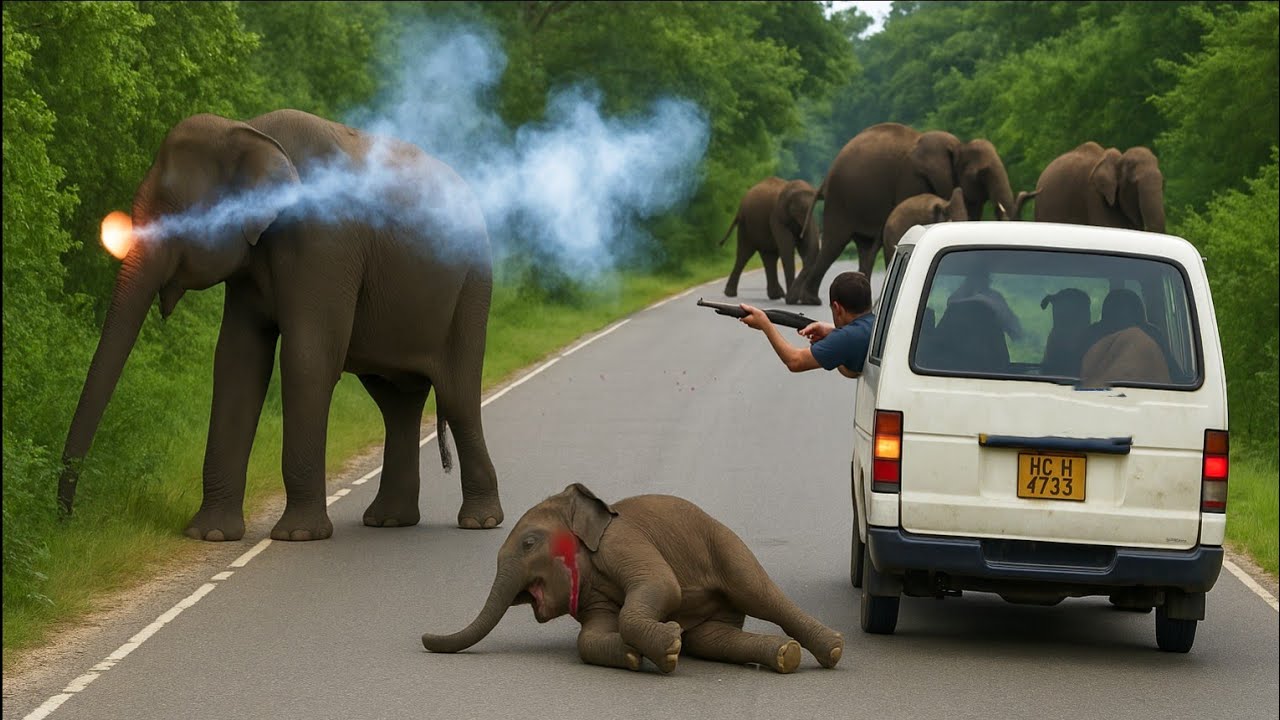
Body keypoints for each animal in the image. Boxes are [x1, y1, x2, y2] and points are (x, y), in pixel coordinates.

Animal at [58, 109, 504, 542]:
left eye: (177, 213)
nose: (68, 518)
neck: (251, 132)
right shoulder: (249, 265)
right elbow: (238, 362)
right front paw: (210, 534)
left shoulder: (325, 242)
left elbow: (307, 360)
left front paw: (298, 535)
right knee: (396, 403)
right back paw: (390, 521)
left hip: (472, 287)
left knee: (456, 397)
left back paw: (479, 522)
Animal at [421, 483, 845, 674]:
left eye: (528, 543)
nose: (425, 639)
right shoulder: (591, 592)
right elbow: (589, 636)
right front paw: (633, 654)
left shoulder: (621, 540)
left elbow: (663, 586)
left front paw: (666, 646)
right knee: (713, 640)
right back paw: (786, 656)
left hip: (725, 546)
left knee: (761, 594)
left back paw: (832, 651)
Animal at [787, 122, 1016, 305]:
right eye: (982, 173)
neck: (959, 146)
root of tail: (825, 179)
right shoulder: (912, 178)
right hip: (840, 199)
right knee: (834, 244)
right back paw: (811, 301)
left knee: (865, 248)